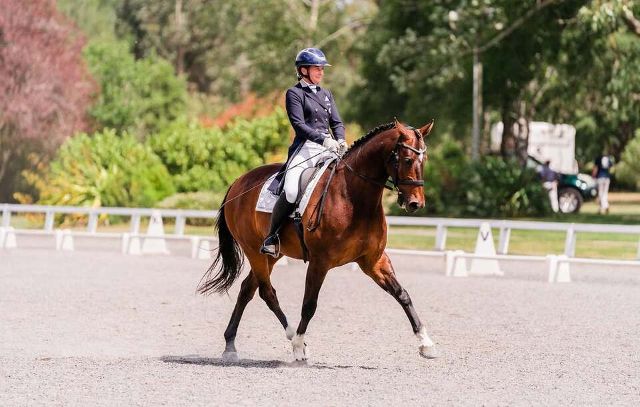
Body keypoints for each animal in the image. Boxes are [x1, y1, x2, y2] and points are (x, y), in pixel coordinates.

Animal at [197, 119, 437, 362]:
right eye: (407, 160)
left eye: (424, 160)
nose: (415, 204)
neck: (354, 198)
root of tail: (238, 182)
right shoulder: (319, 262)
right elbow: (309, 305)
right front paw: (299, 347)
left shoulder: (373, 261)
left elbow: (402, 294)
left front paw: (426, 344)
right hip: (253, 250)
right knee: (267, 292)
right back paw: (293, 338)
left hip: (273, 255)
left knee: (248, 289)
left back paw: (230, 345)